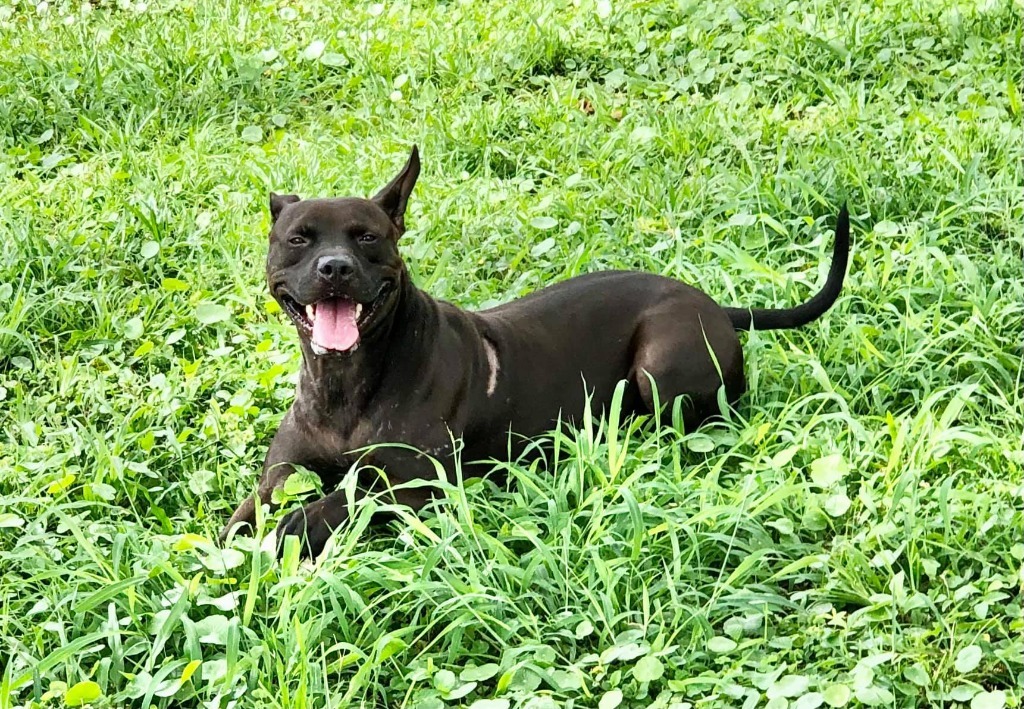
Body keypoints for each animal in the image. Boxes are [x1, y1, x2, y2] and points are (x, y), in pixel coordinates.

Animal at [220, 146, 851, 561]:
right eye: (299, 239)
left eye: (367, 236)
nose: (335, 268)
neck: (345, 383)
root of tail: (717, 305)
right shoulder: (277, 476)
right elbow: (241, 518)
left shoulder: (415, 486)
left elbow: (340, 503)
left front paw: (292, 531)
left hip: (661, 361)